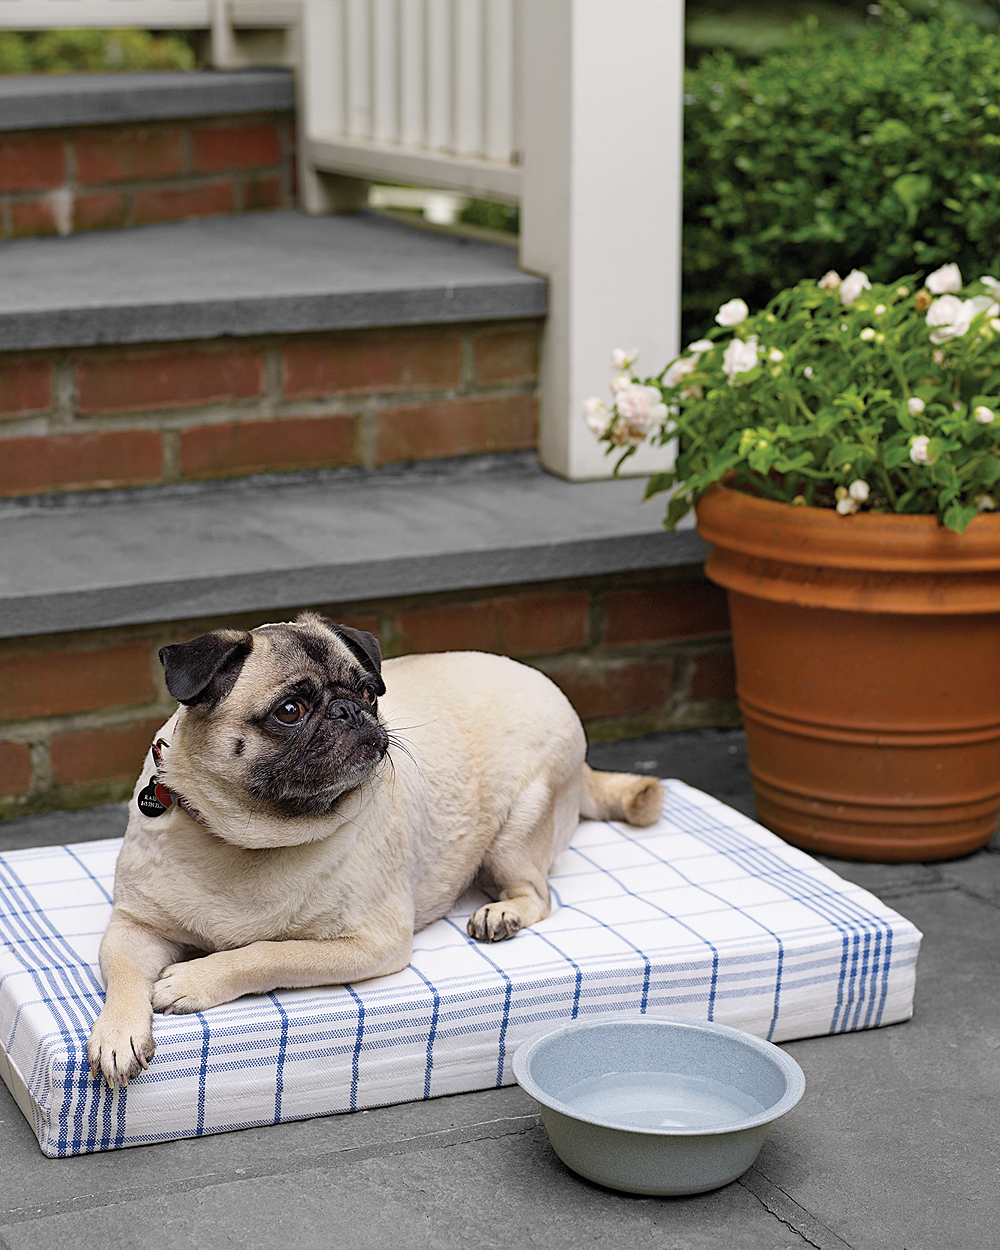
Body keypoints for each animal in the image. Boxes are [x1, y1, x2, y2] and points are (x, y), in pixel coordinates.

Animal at [86, 615, 665, 1085]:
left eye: (368, 694)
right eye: (290, 711)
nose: (348, 710)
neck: (247, 837)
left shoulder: (372, 942)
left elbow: (268, 952)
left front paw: (198, 977)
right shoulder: (135, 926)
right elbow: (123, 974)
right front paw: (117, 1034)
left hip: (519, 829)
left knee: (538, 894)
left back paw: (502, 913)